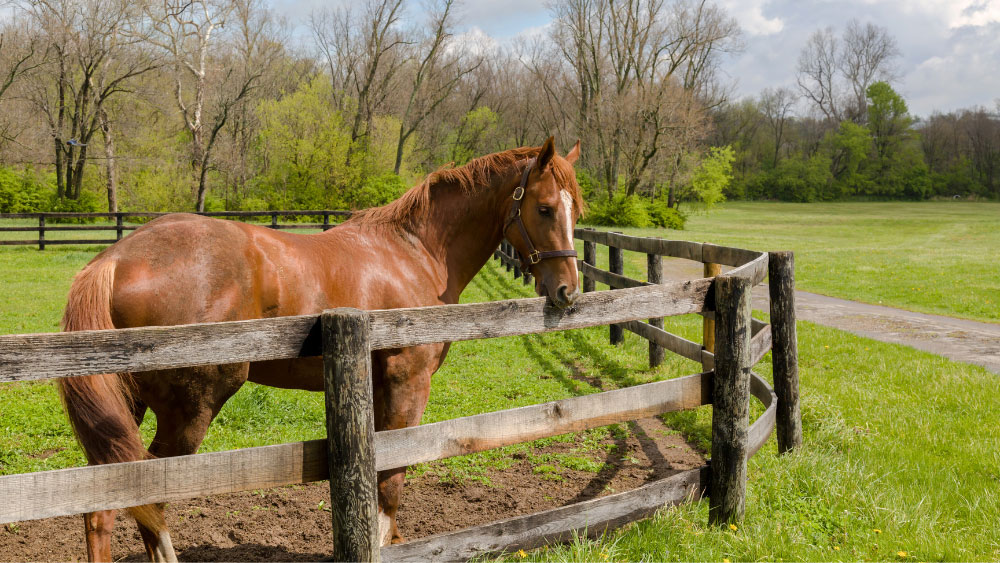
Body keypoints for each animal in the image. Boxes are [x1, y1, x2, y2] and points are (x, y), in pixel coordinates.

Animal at [58, 138, 584, 563]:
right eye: (543, 208)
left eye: (575, 210)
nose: (567, 291)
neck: (414, 252)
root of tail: (115, 258)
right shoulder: (408, 383)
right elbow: (392, 476)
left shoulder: (377, 388)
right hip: (192, 407)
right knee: (149, 494)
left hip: (126, 407)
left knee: (100, 506)